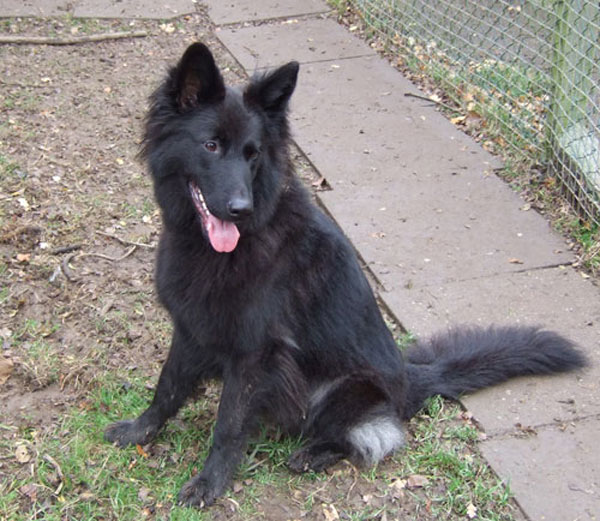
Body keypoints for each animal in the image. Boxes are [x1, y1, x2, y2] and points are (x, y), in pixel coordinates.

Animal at [105, 42, 588, 506]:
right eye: (210, 146)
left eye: (252, 154)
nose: (241, 209)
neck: (214, 248)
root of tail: (410, 379)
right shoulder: (191, 328)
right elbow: (167, 388)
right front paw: (140, 431)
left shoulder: (254, 354)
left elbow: (228, 425)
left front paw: (210, 483)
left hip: (339, 391)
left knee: (374, 437)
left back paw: (315, 453)